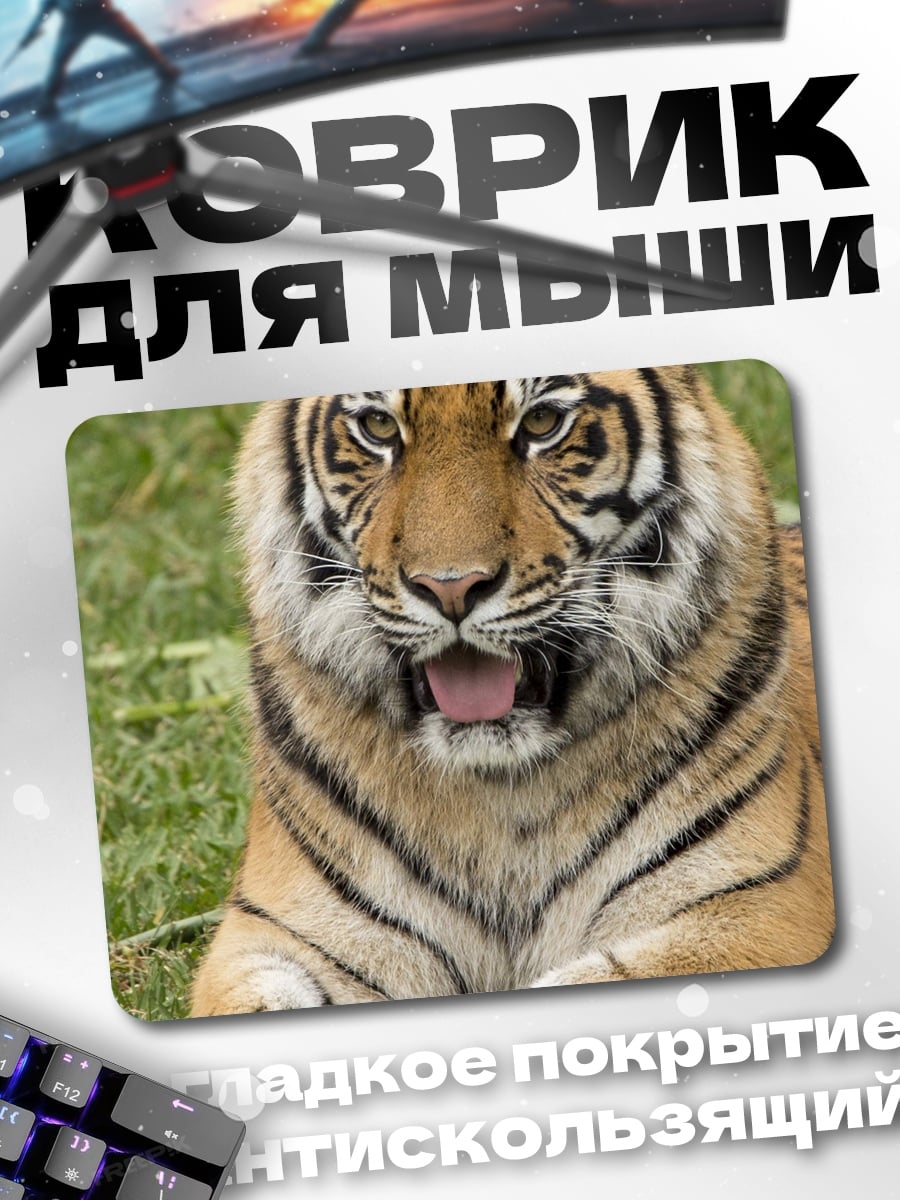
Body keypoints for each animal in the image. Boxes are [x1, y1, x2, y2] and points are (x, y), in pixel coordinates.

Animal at [190, 366, 834, 1015]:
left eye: (543, 422)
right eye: (378, 427)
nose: (450, 588)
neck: (499, 797)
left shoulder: (756, 907)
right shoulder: (282, 931)